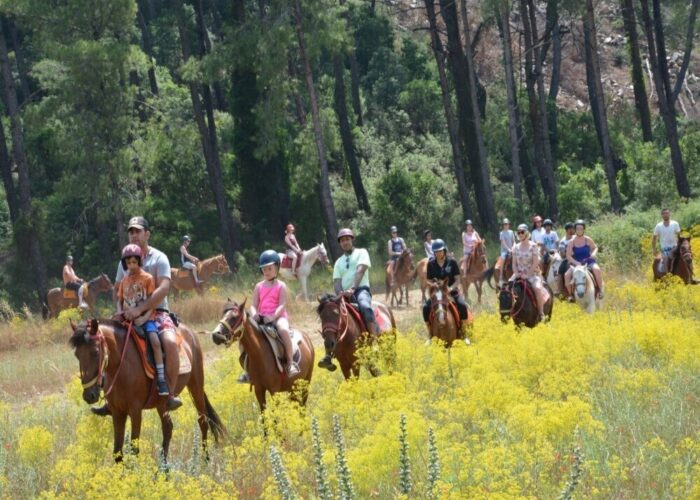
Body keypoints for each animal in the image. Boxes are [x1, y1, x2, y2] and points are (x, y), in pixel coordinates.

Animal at [68, 318, 224, 462]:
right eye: (76, 355)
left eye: (95, 352)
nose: (89, 395)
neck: (122, 366)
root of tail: (190, 333)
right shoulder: (117, 412)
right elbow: (117, 452)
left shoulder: (136, 411)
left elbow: (134, 449)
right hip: (162, 403)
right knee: (168, 428)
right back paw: (163, 468)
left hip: (196, 386)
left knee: (203, 422)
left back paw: (206, 460)